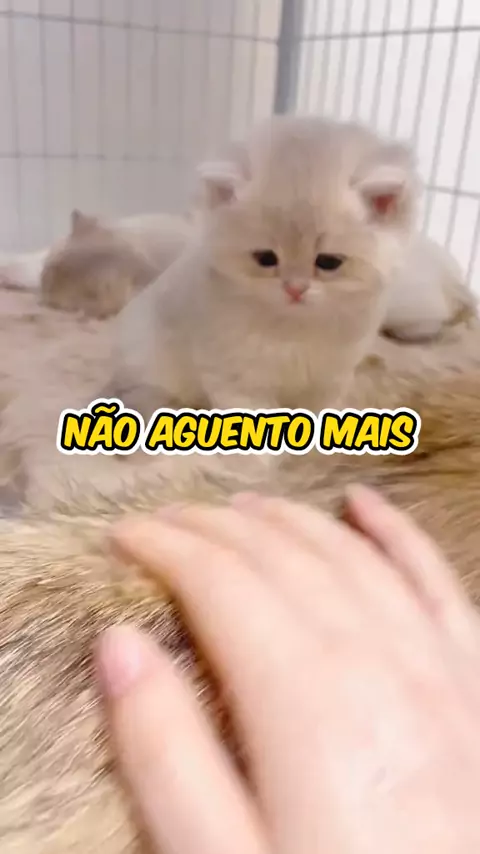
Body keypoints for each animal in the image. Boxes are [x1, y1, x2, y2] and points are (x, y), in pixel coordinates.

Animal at [108, 114, 420, 421]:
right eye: (265, 258)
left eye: (328, 262)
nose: (295, 289)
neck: (295, 329)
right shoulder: (235, 378)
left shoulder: (328, 382)